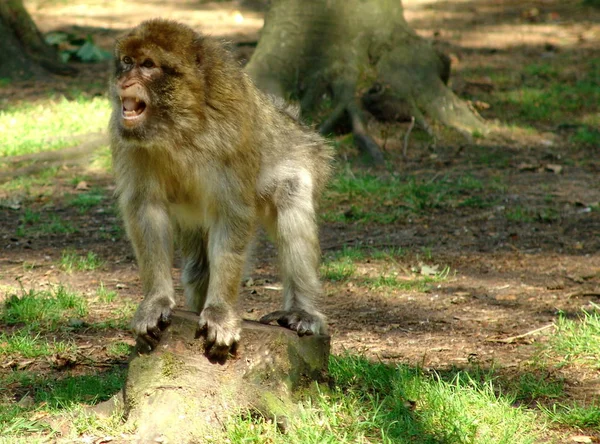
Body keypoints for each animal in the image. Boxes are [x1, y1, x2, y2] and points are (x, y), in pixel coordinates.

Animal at [108, 19, 332, 362]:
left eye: (148, 65)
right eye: (127, 61)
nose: (125, 80)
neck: (180, 127)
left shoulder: (231, 130)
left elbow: (231, 215)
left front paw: (220, 312)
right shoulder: (128, 143)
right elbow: (147, 210)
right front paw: (156, 301)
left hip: (304, 158)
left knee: (292, 208)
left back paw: (302, 312)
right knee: (198, 266)